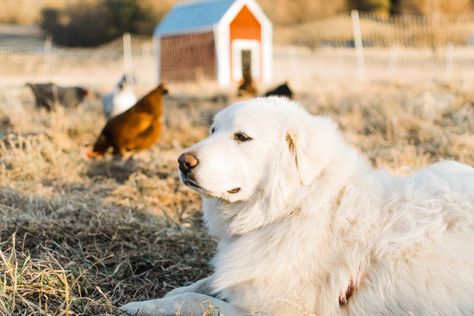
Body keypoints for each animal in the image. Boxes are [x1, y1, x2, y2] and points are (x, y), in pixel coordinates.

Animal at [121, 97, 474, 314]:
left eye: (242, 137)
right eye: (213, 130)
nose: (182, 162)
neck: (289, 210)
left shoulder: (276, 310)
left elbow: (196, 302)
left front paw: (143, 306)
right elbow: (203, 284)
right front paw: (173, 291)